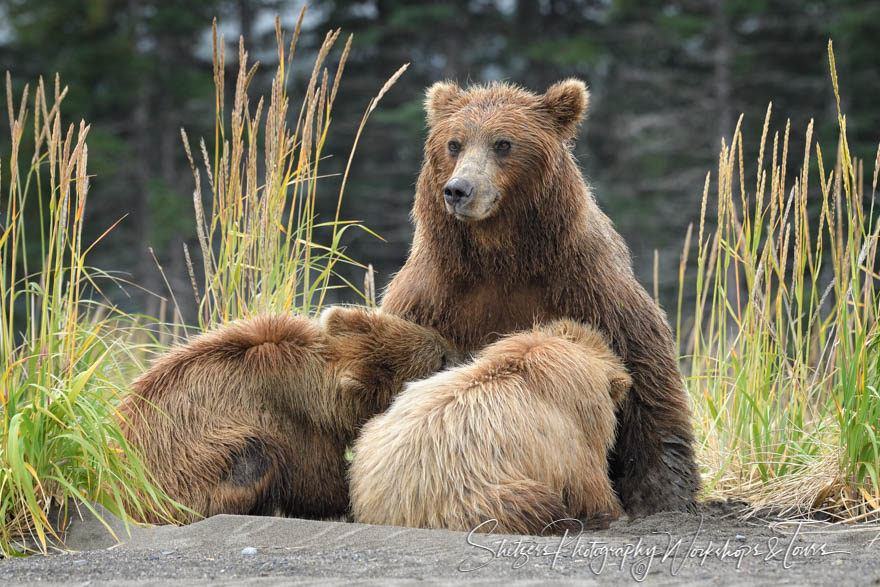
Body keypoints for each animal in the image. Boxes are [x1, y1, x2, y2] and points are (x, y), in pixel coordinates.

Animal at [118, 308, 454, 524]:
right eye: (439, 359)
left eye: (436, 341)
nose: (451, 349)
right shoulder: (289, 417)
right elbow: (316, 482)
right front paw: (350, 500)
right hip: (184, 477)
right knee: (253, 457)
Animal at [350, 320, 632, 536]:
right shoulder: (575, 432)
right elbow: (590, 484)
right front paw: (609, 511)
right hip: (471, 496)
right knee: (530, 502)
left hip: (369, 439)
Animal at [382, 78, 696, 516]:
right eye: (454, 143)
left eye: (503, 143)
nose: (459, 190)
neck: (502, 257)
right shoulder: (432, 297)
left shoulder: (588, 287)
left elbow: (644, 373)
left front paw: (664, 494)